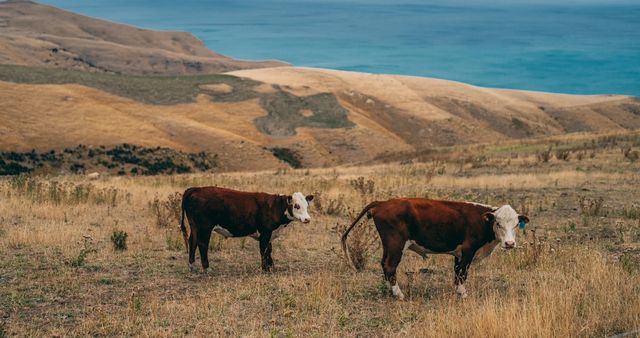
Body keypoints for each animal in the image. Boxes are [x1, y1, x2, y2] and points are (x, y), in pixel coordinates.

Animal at [179, 186, 314, 274]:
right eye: (297, 206)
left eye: (307, 205)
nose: (307, 219)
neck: (275, 207)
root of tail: (196, 189)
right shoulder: (265, 233)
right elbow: (264, 250)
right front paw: (265, 269)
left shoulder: (270, 234)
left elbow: (269, 250)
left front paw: (272, 266)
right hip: (205, 227)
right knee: (202, 244)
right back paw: (206, 268)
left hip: (194, 226)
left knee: (192, 242)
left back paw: (192, 266)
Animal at [340, 198, 528, 298]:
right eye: (498, 223)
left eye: (516, 224)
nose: (509, 244)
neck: (482, 221)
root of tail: (383, 202)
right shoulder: (468, 250)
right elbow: (463, 272)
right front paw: (463, 293)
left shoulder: (459, 253)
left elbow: (456, 271)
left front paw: (456, 290)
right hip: (396, 244)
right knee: (390, 266)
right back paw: (398, 294)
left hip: (388, 245)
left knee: (384, 264)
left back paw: (389, 289)